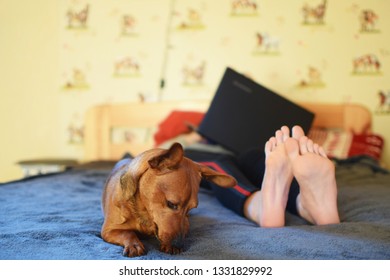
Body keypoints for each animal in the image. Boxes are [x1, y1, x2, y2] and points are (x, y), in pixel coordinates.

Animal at [100, 143, 236, 258]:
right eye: (171, 204)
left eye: (190, 209)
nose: (178, 244)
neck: (144, 213)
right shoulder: (108, 231)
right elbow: (127, 233)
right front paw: (134, 244)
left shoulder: (185, 224)